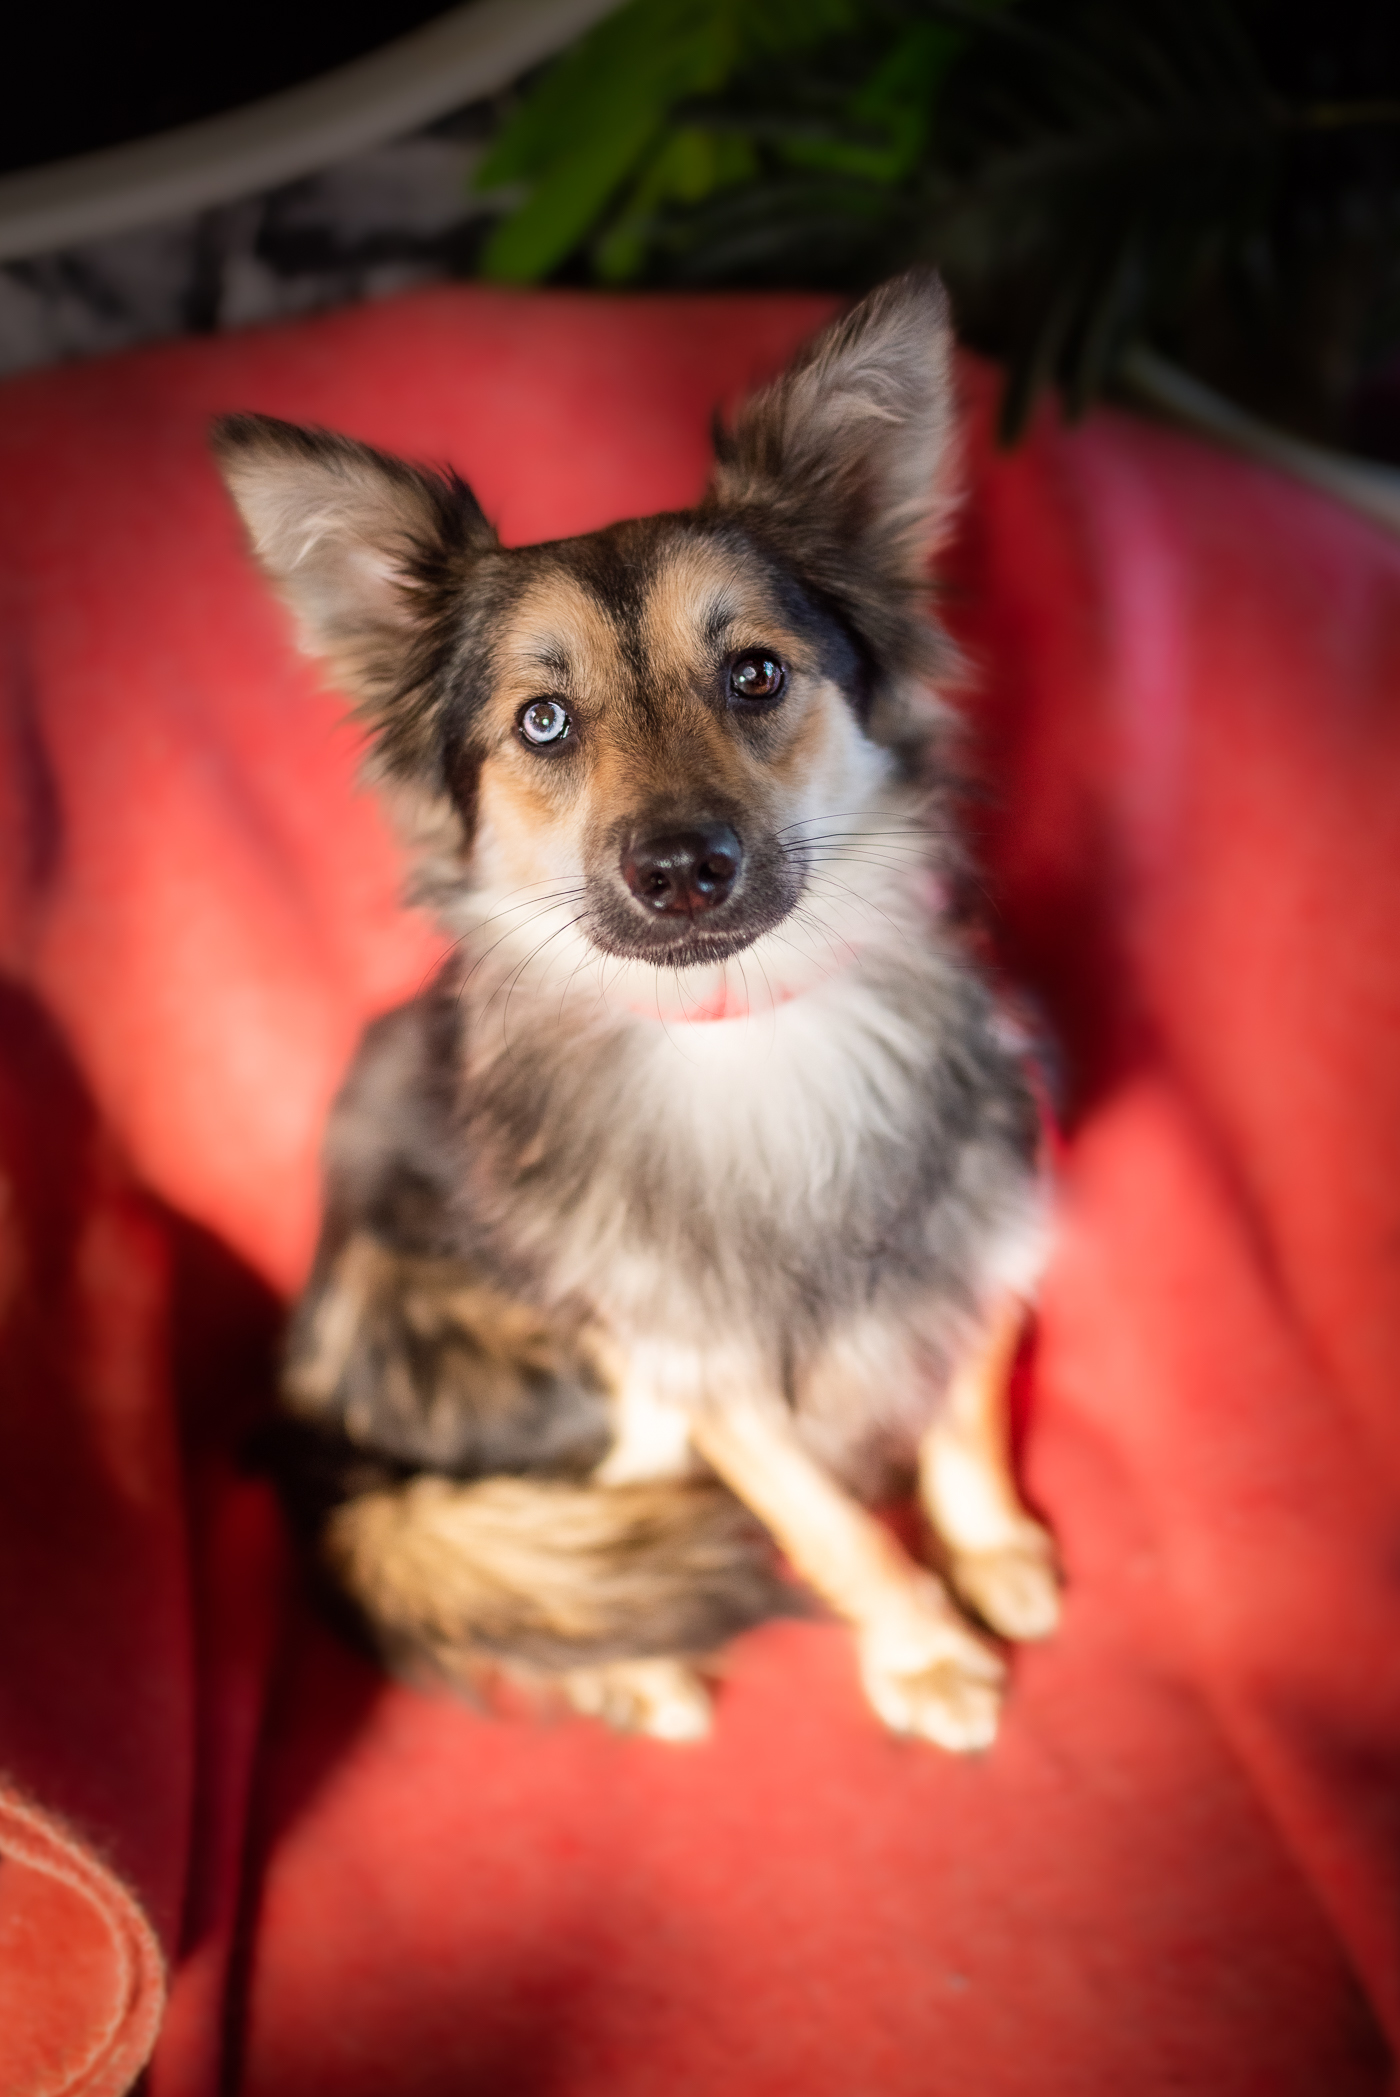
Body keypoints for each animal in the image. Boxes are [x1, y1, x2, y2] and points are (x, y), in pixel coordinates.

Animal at [213, 270, 1058, 1752]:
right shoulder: (692, 1358)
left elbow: (959, 1404)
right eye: (543, 722)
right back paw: (635, 1669)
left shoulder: (966, 1218)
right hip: (570, 1383)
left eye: (757, 674)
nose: (678, 870)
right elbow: (822, 1518)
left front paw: (991, 1543)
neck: (748, 1026)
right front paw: (918, 1646)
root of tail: (313, 1430)